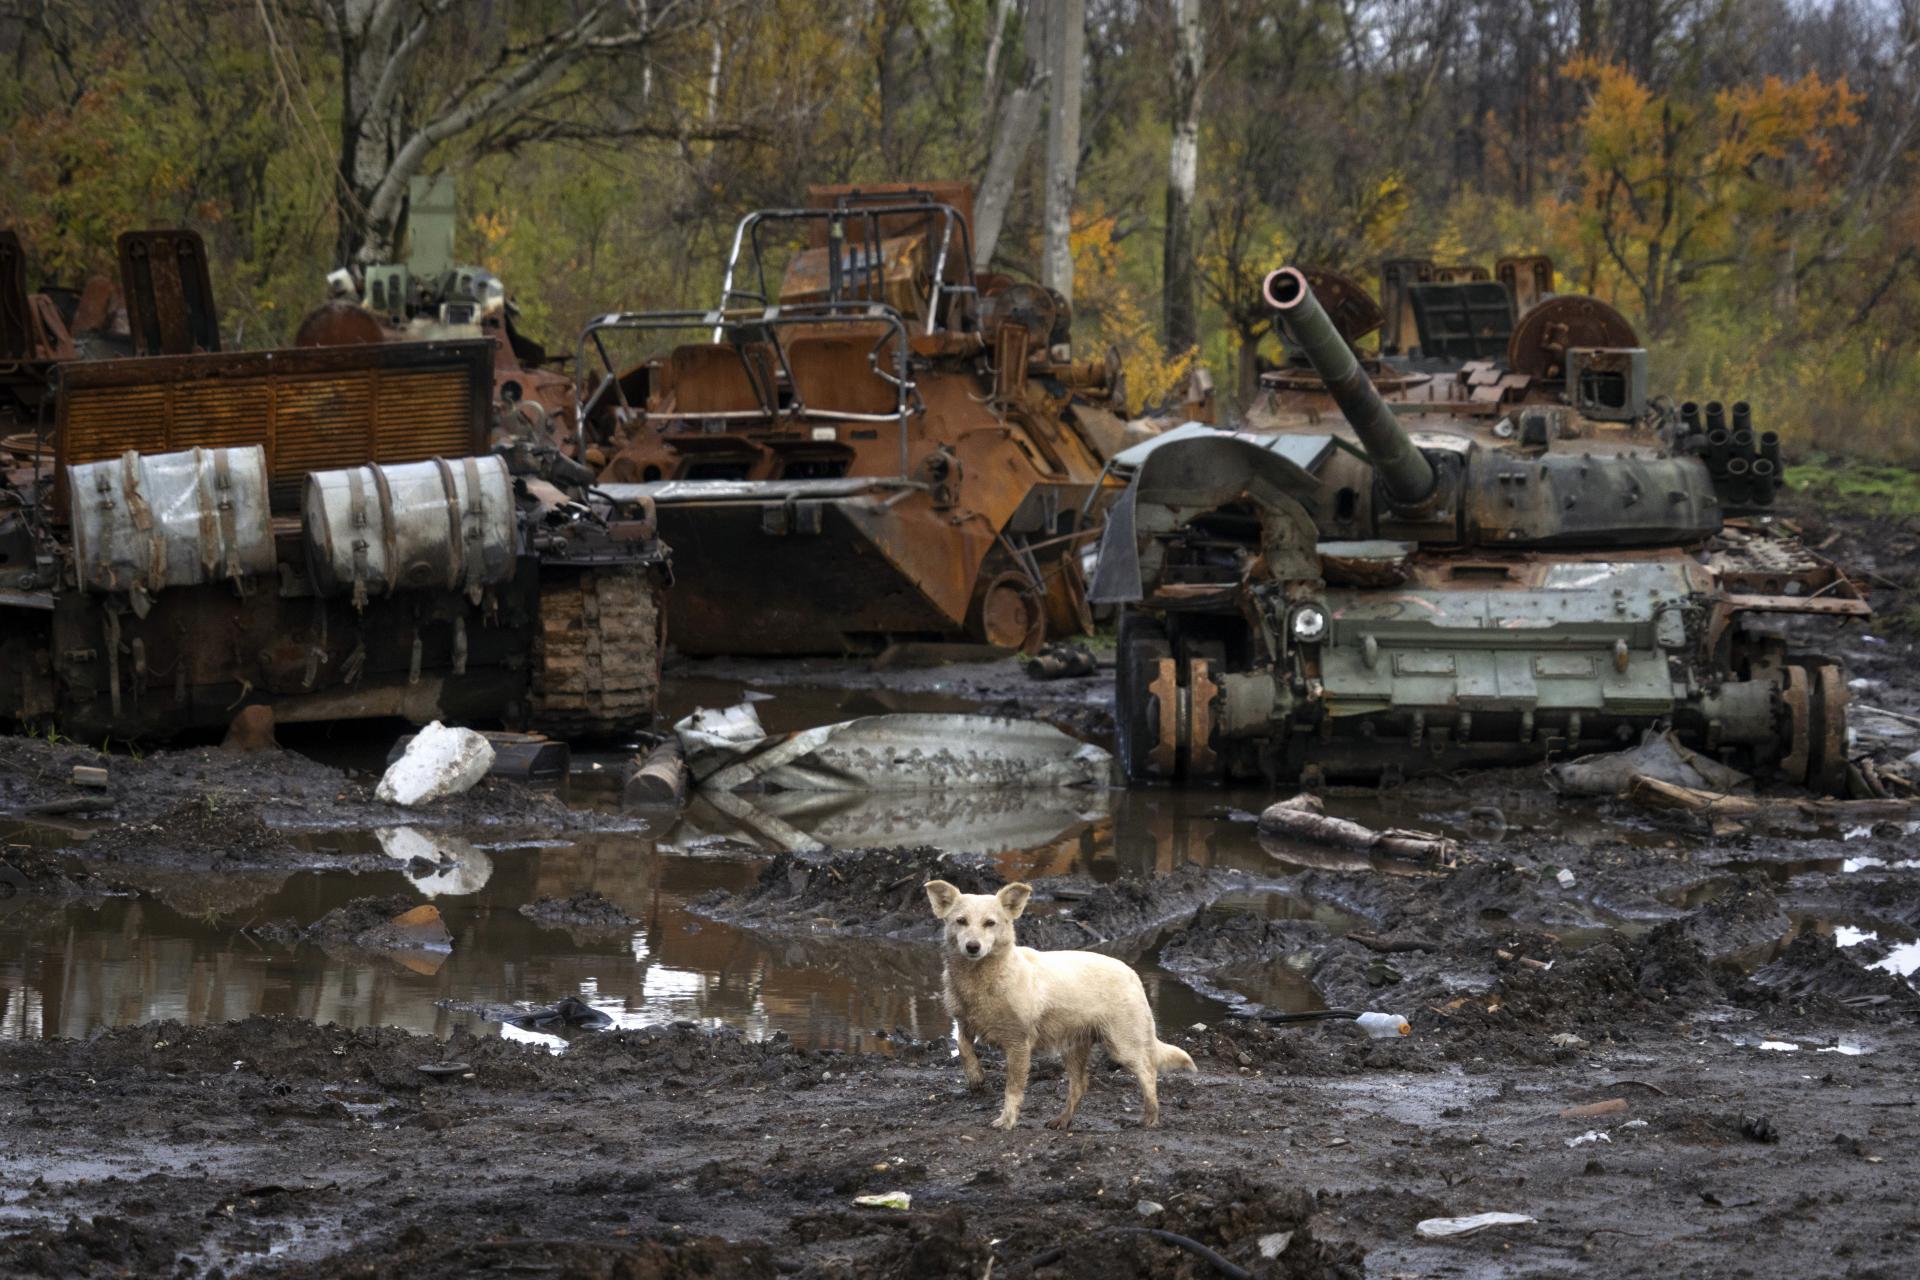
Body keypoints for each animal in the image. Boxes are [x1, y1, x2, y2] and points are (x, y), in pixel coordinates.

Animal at [921, 882, 1190, 1128]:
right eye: (961, 921)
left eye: (990, 923)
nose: (972, 946)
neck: (984, 979)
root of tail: (1132, 973)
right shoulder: (964, 1022)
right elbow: (963, 1047)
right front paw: (976, 1078)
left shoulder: (1019, 1044)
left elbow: (1013, 1088)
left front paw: (1007, 1120)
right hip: (1073, 1046)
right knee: (1080, 1085)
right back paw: (1062, 1120)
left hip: (1123, 1044)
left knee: (1148, 1072)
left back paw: (1150, 1118)